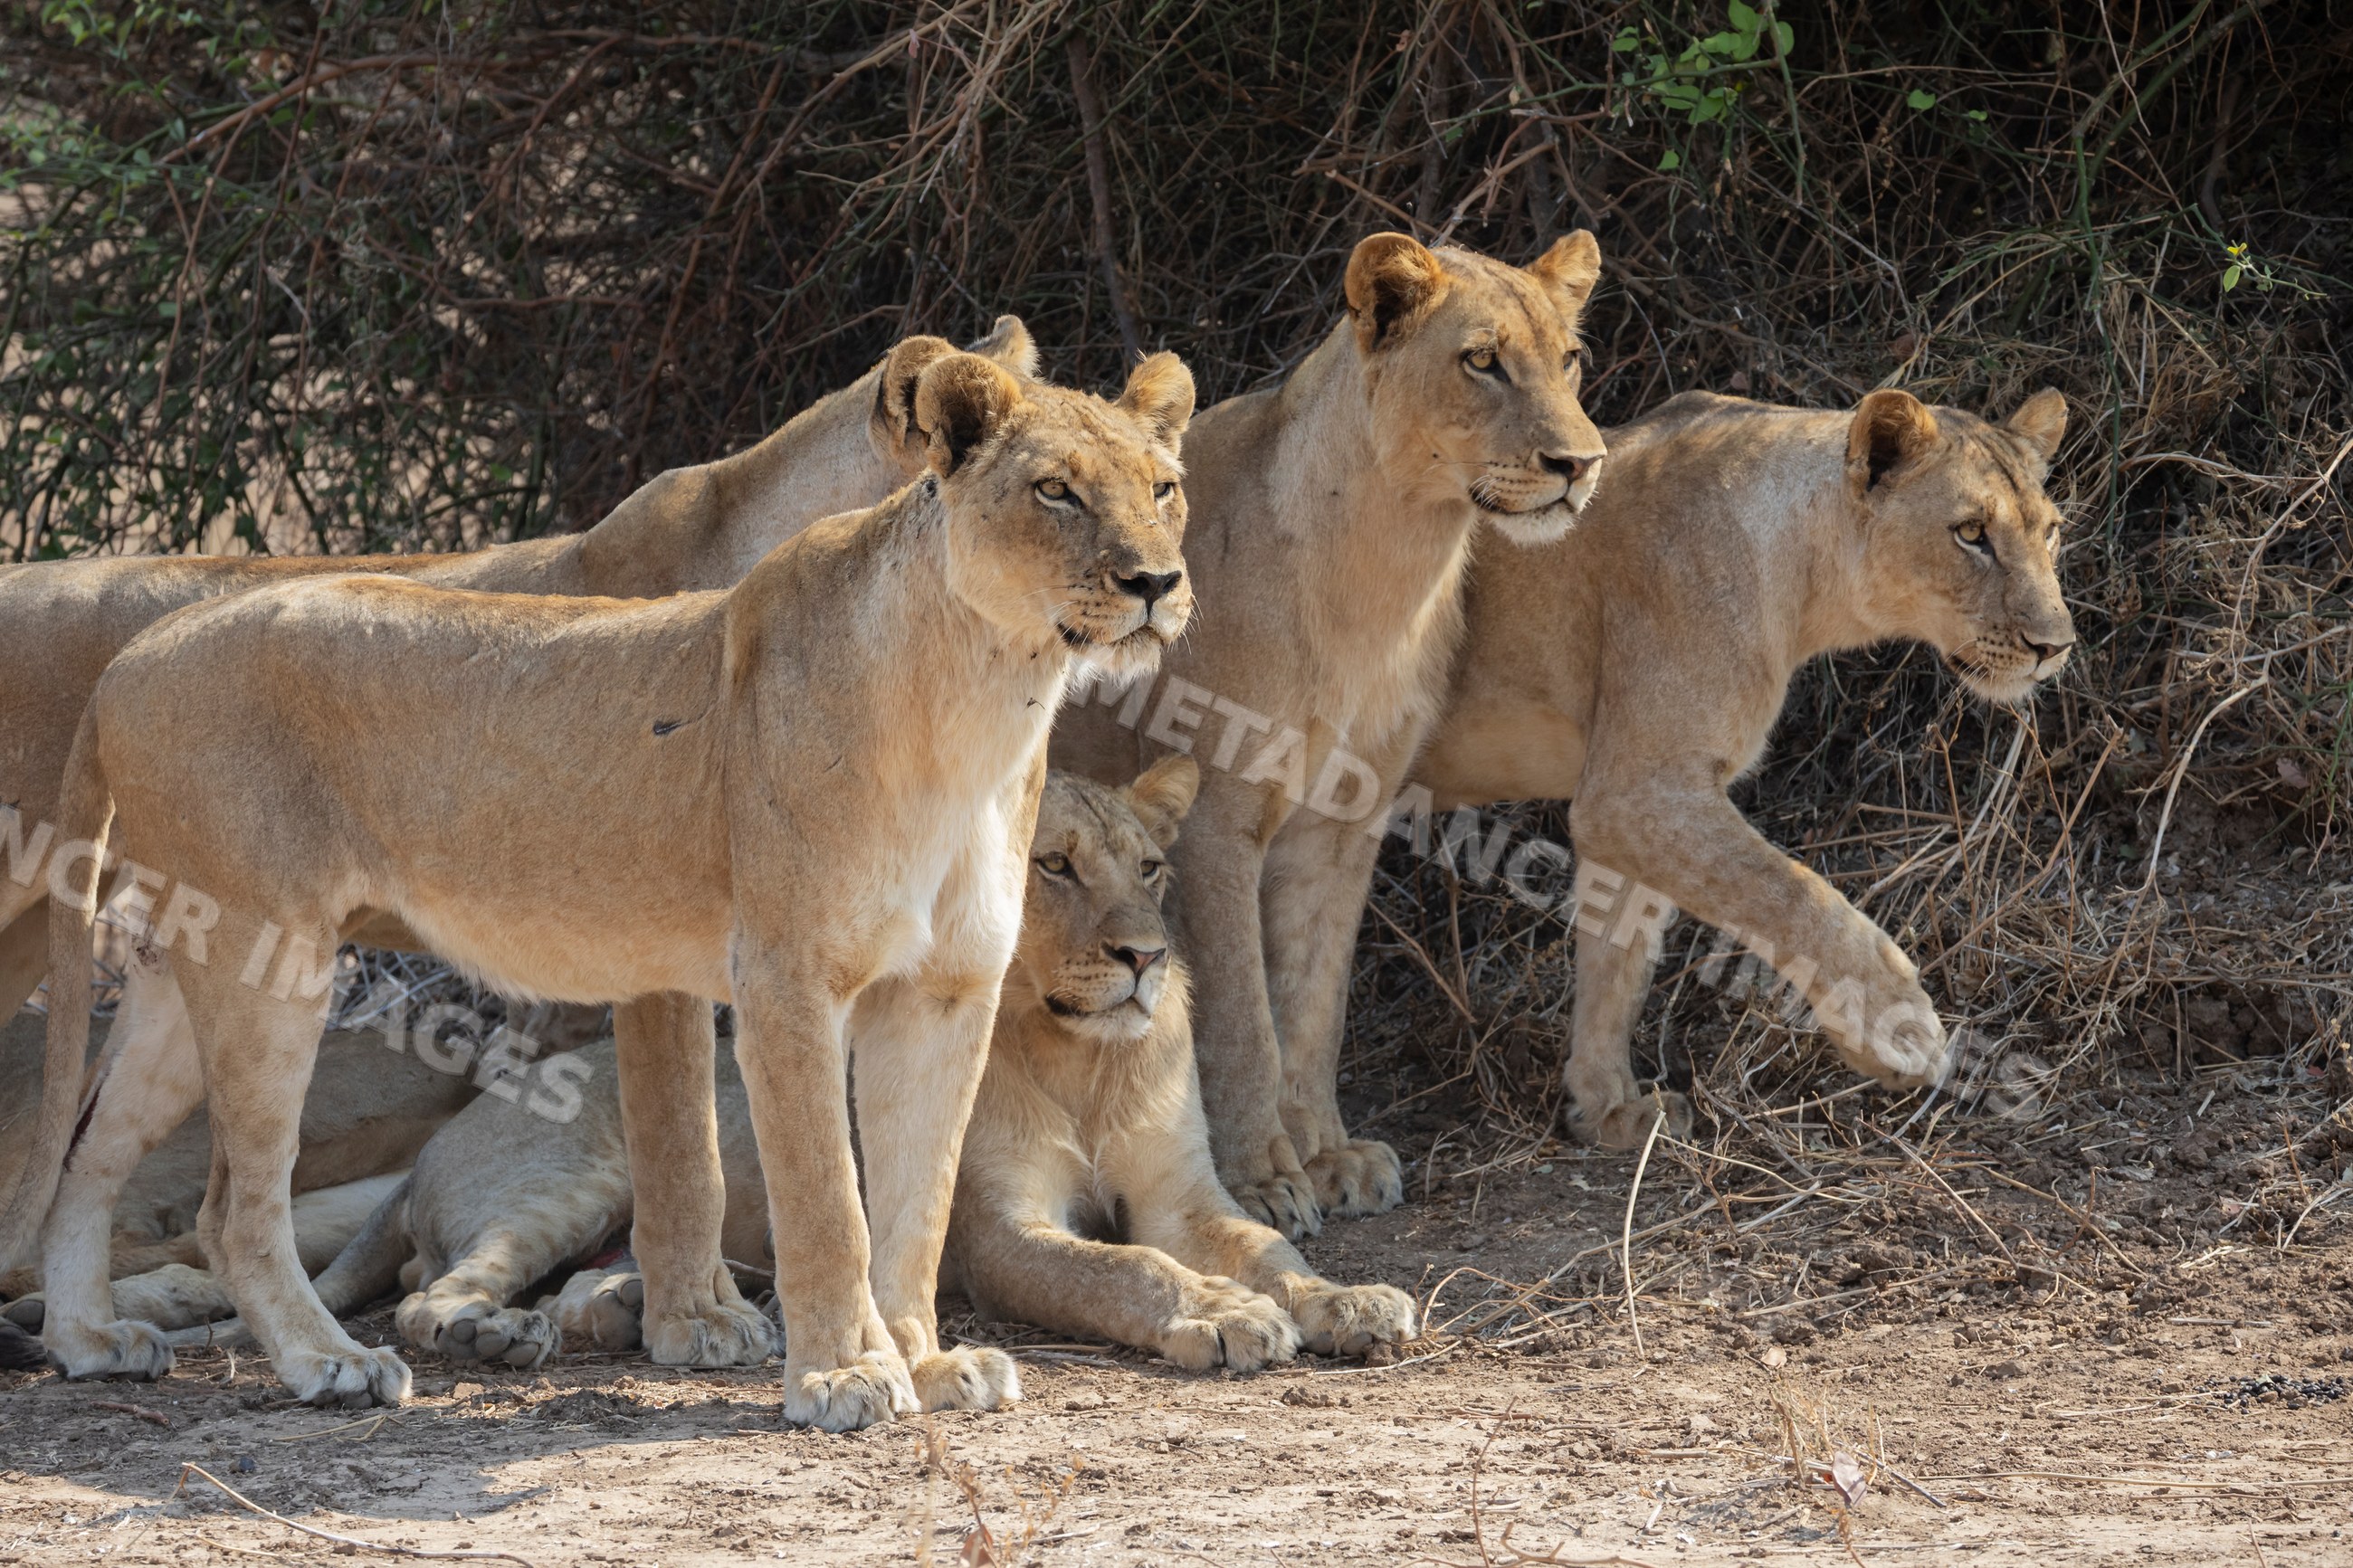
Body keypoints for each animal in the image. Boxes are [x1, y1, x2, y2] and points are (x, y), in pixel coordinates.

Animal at [19, 346, 1196, 1428]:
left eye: (1162, 487)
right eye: (1055, 489)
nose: (1154, 583)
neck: (985, 693)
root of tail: (132, 656)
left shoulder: (946, 990)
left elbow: (919, 1198)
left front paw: (925, 1359)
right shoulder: (786, 977)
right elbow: (829, 1195)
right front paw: (843, 1376)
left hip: (185, 962)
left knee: (87, 1154)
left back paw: (89, 1340)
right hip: (273, 959)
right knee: (230, 1205)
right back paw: (329, 1362)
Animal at [141, 761, 1414, 1377]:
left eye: (1149, 866)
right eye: (1051, 865)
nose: (1145, 955)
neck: (1078, 1056)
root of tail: (437, 1144)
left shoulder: (1183, 1193)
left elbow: (1266, 1246)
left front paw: (1344, 1299)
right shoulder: (991, 1230)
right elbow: (1126, 1270)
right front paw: (1221, 1313)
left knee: (604, 1283)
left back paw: (626, 1313)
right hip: (569, 1181)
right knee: (427, 1291)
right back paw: (495, 1337)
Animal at [1053, 232, 1608, 1240]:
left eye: (1571, 359)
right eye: (1482, 361)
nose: (1581, 464)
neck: (1389, 561)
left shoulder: (1344, 818)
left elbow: (1313, 1002)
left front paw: (1326, 1155)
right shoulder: (1215, 817)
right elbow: (1243, 1015)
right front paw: (1262, 1178)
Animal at [1415, 387, 2075, 1147]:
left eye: (2051, 532)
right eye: (1970, 532)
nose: (2056, 645)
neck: (1804, 582)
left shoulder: (1624, 796)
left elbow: (1619, 953)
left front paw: (1609, 1107)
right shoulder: (1638, 790)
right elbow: (1791, 892)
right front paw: (1893, 1026)